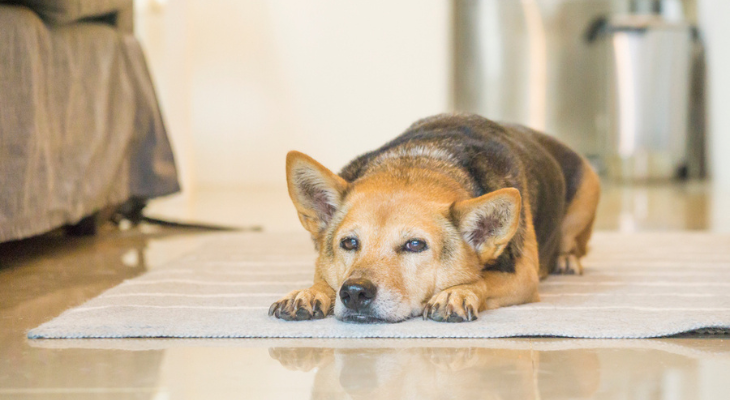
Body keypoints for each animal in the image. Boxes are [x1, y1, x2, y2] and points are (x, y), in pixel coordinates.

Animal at [268, 111, 596, 322]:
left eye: (415, 245)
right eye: (349, 243)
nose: (355, 293)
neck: (420, 161)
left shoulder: (524, 275)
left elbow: (483, 279)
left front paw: (455, 294)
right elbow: (324, 276)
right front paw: (310, 293)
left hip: (587, 194)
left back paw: (567, 260)